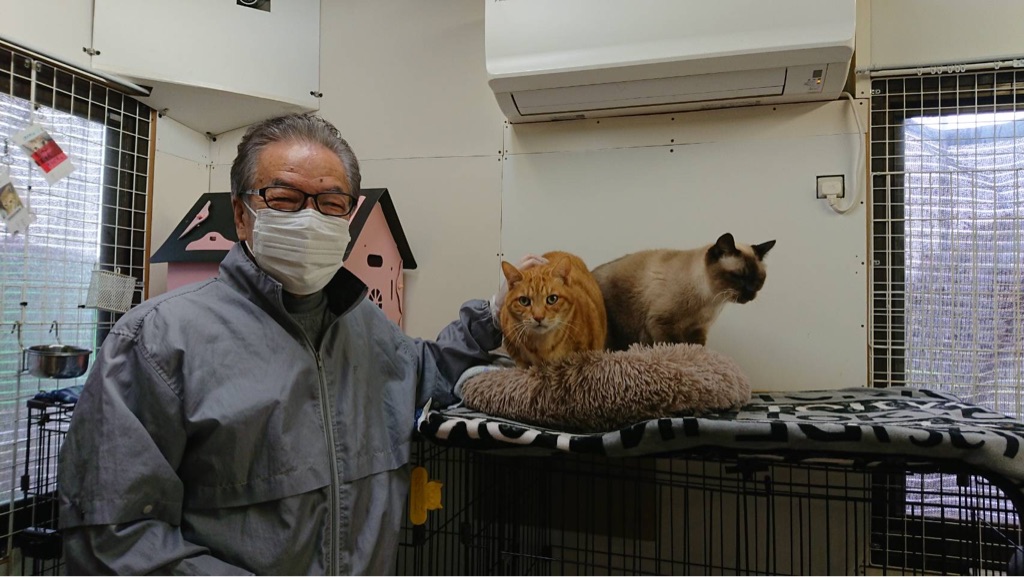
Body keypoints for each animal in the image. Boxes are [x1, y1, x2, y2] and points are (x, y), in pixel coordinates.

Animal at [591, 233, 775, 350]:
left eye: (758, 280)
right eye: (738, 276)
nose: (750, 293)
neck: (710, 302)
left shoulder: (697, 331)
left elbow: (697, 349)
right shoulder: (662, 324)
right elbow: (677, 346)